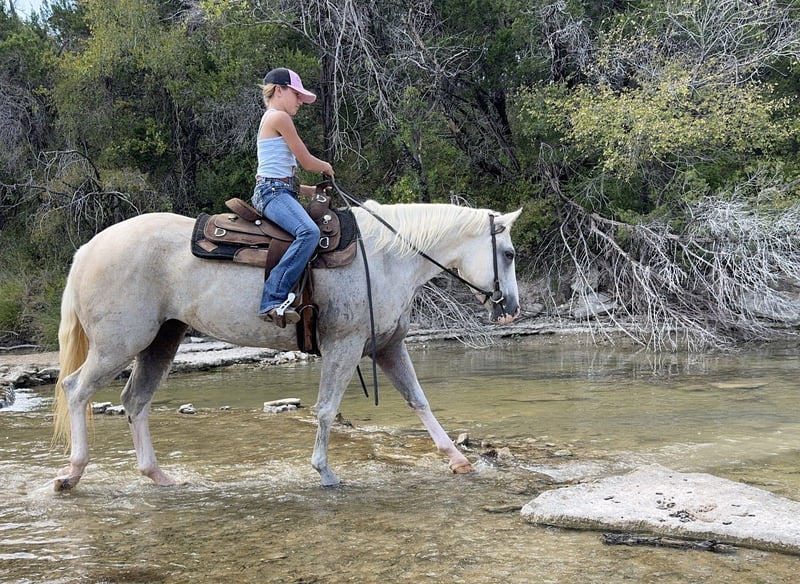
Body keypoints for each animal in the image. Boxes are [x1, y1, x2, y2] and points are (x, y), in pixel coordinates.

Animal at [52, 200, 522, 490]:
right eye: (510, 253)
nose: (512, 308)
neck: (387, 258)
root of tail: (89, 247)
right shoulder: (345, 346)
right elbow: (327, 409)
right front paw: (325, 471)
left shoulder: (387, 347)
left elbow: (419, 401)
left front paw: (458, 460)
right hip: (118, 345)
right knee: (76, 389)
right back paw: (71, 474)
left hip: (161, 341)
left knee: (135, 400)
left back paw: (158, 475)